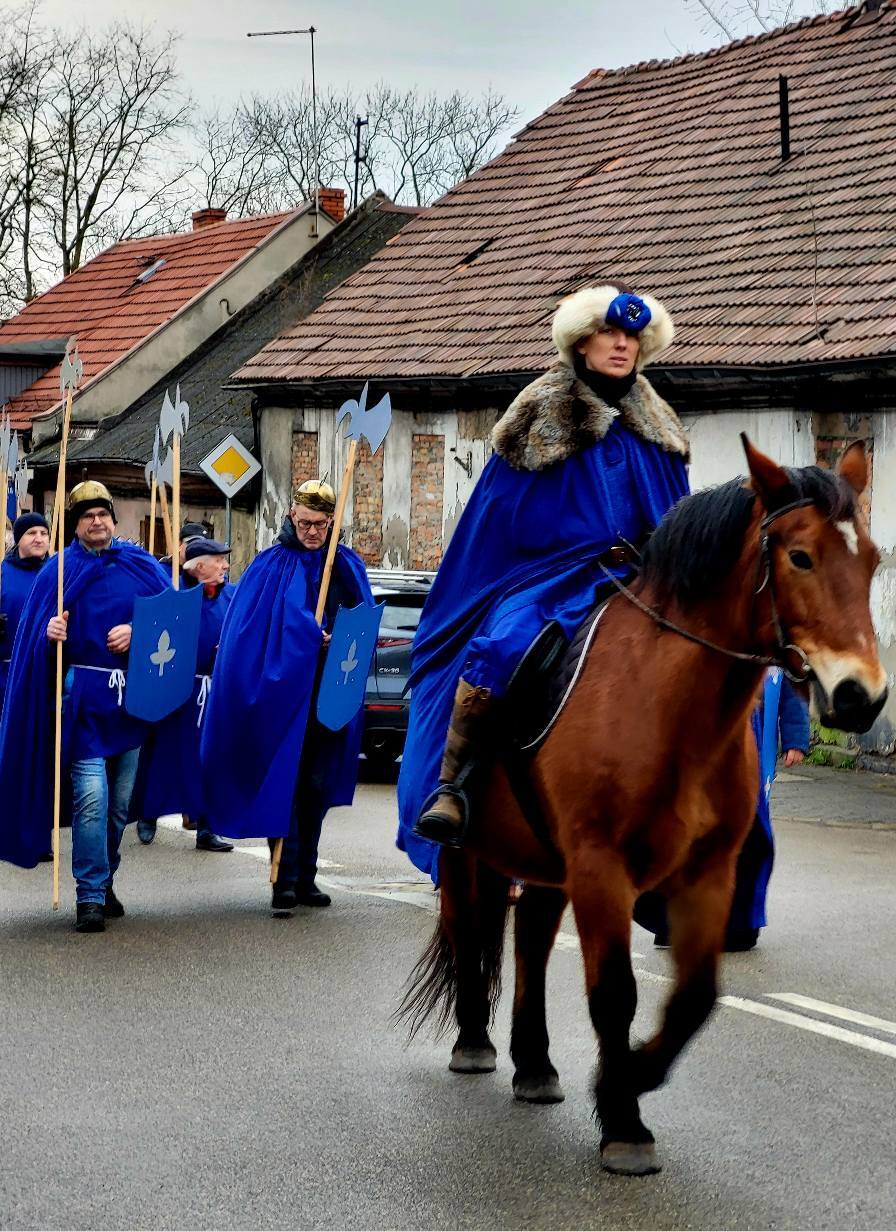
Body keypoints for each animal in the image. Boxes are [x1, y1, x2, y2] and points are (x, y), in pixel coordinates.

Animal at [401, 438, 891, 1176]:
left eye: (873, 560)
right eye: (800, 556)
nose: (861, 696)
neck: (669, 709)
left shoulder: (706, 873)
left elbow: (695, 995)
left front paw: (630, 1076)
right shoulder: (602, 867)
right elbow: (615, 991)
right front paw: (624, 1120)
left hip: (547, 864)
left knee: (531, 939)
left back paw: (535, 1063)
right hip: (466, 853)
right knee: (468, 930)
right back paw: (474, 1043)